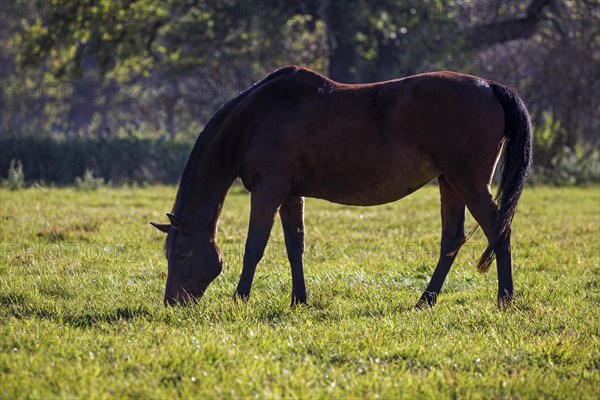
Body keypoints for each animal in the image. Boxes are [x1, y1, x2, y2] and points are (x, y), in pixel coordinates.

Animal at [152, 65, 532, 310]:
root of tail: (492, 87)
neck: (258, 118)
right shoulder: (291, 196)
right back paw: (426, 300)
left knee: (499, 230)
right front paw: (299, 300)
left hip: (469, 182)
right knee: (452, 239)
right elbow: (295, 247)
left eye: (182, 254)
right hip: (449, 182)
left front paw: (240, 299)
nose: (173, 304)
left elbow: (254, 247)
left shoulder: (267, 193)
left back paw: (505, 298)